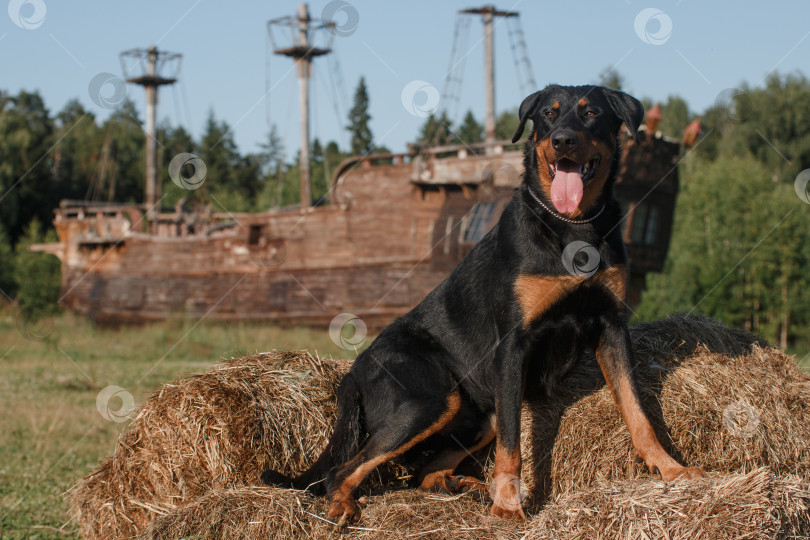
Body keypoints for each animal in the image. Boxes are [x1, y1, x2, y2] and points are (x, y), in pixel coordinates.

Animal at [264, 85, 700, 524]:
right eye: (548, 114)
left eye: (591, 113)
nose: (562, 141)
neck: (573, 226)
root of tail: (352, 372)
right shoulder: (512, 345)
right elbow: (513, 445)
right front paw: (508, 507)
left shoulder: (612, 327)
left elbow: (638, 412)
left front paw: (670, 469)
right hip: (431, 399)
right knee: (342, 470)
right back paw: (345, 506)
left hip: (479, 414)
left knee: (424, 473)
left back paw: (463, 486)